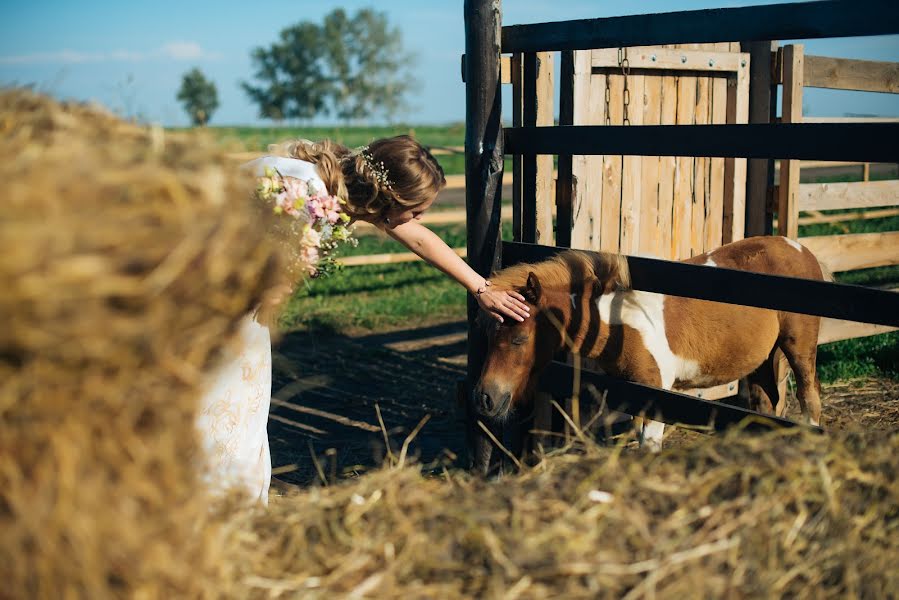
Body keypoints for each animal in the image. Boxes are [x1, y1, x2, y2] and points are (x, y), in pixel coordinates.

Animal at [474, 234, 832, 450]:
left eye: (519, 338)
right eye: (490, 336)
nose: (485, 398)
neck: (616, 319)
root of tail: (801, 249)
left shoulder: (657, 389)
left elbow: (650, 444)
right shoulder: (634, 391)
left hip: (798, 344)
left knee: (808, 396)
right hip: (761, 359)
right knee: (767, 404)